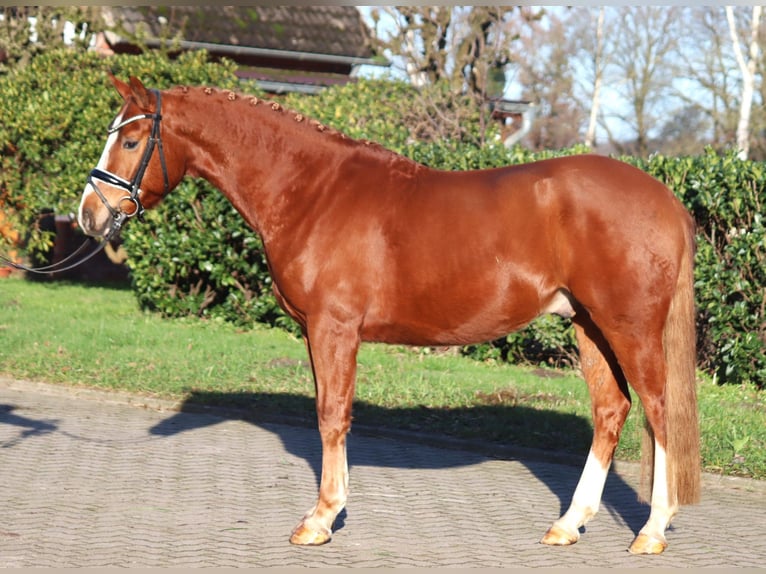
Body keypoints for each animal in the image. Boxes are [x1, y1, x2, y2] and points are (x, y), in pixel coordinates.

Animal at [78, 74, 704, 556]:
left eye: (130, 140)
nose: (89, 215)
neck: (314, 191)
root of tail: (667, 201)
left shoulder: (334, 328)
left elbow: (331, 415)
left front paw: (320, 519)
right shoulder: (317, 332)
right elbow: (331, 413)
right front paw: (330, 511)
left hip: (628, 327)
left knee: (658, 411)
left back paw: (651, 531)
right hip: (588, 325)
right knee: (611, 411)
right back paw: (568, 525)